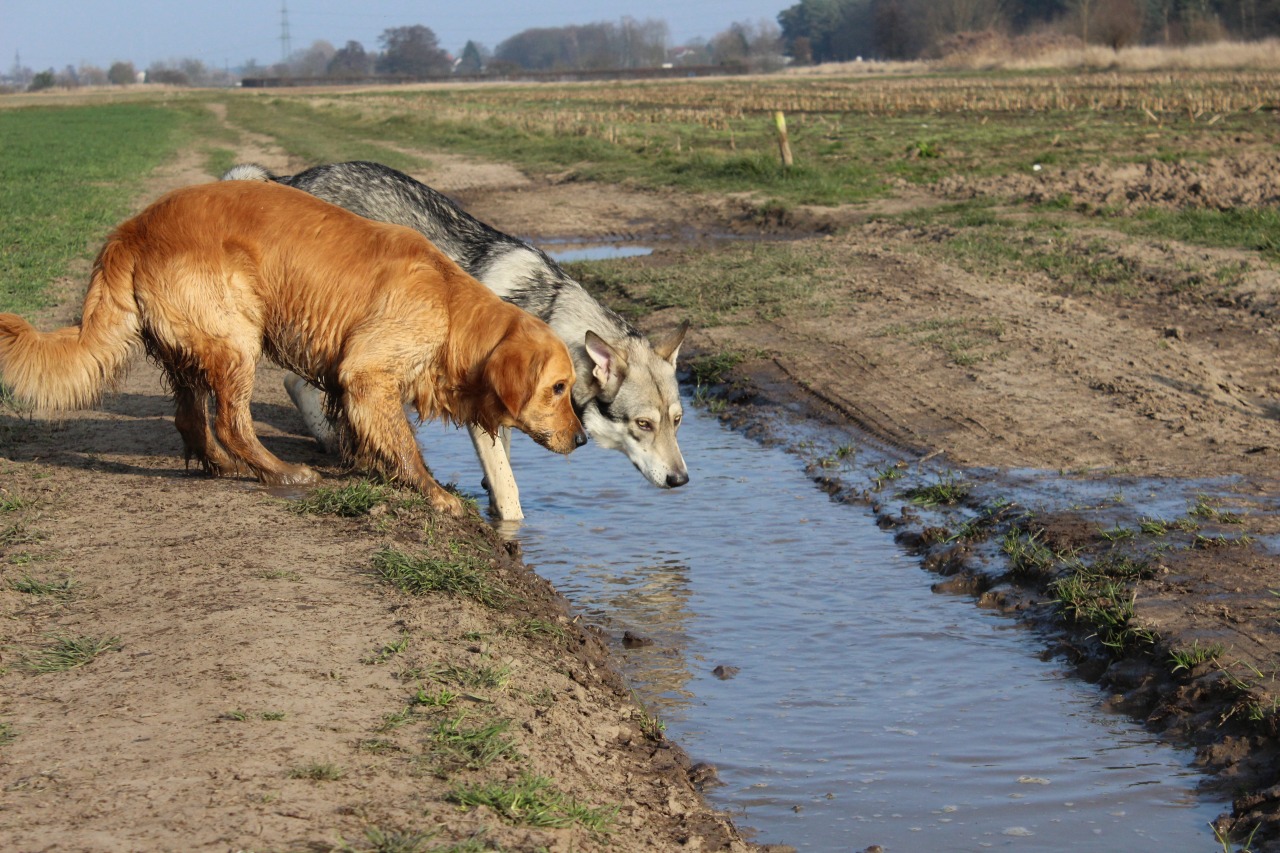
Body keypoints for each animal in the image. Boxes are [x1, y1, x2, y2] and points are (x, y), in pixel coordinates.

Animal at [225, 159, 696, 517]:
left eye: (676, 421)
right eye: (643, 424)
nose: (681, 479)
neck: (551, 314)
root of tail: (290, 178)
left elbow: (501, 474)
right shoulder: (478, 413)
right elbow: (510, 492)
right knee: (299, 382)